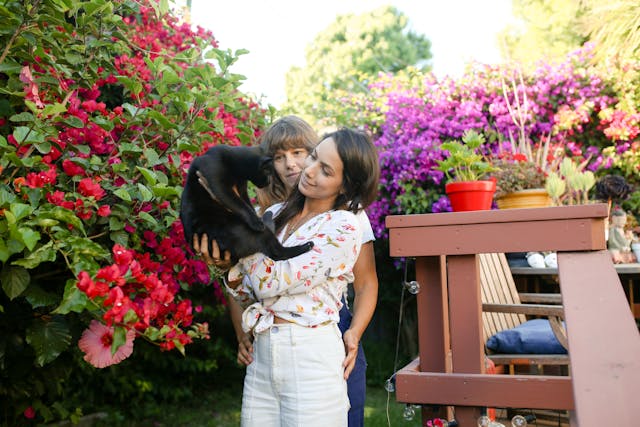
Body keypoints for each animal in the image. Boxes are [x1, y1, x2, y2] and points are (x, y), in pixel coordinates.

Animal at [180, 145, 312, 262]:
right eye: (269, 174)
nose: (269, 182)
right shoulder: (219, 183)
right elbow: (239, 204)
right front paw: (256, 222)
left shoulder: (242, 189)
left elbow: (248, 204)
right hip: (251, 232)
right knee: (277, 253)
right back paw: (306, 246)